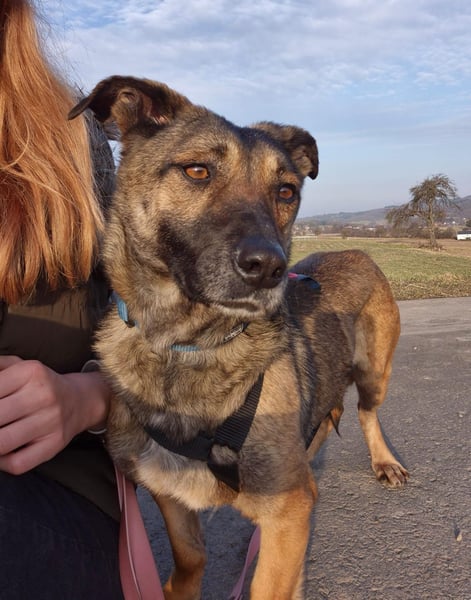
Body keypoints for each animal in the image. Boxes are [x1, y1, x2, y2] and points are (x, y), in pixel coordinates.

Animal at [70, 76, 409, 600]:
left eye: (285, 191)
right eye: (197, 170)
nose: (269, 268)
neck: (186, 346)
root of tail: (357, 251)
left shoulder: (288, 509)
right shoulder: (171, 493)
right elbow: (191, 556)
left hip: (375, 371)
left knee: (367, 411)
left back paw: (384, 461)